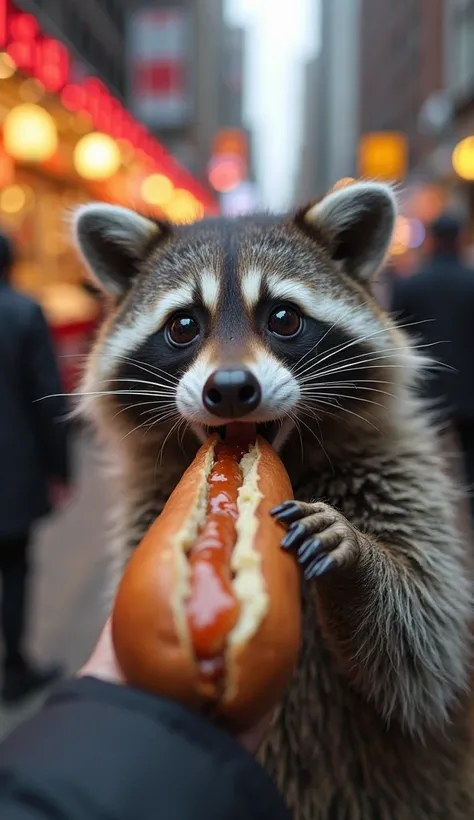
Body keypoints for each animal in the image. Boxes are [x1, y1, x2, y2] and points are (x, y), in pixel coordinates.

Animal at [73, 184, 474, 820]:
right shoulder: (143, 511)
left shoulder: (398, 469)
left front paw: (357, 560)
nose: (233, 389)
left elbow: (425, 648)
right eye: (183, 326)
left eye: (283, 317)